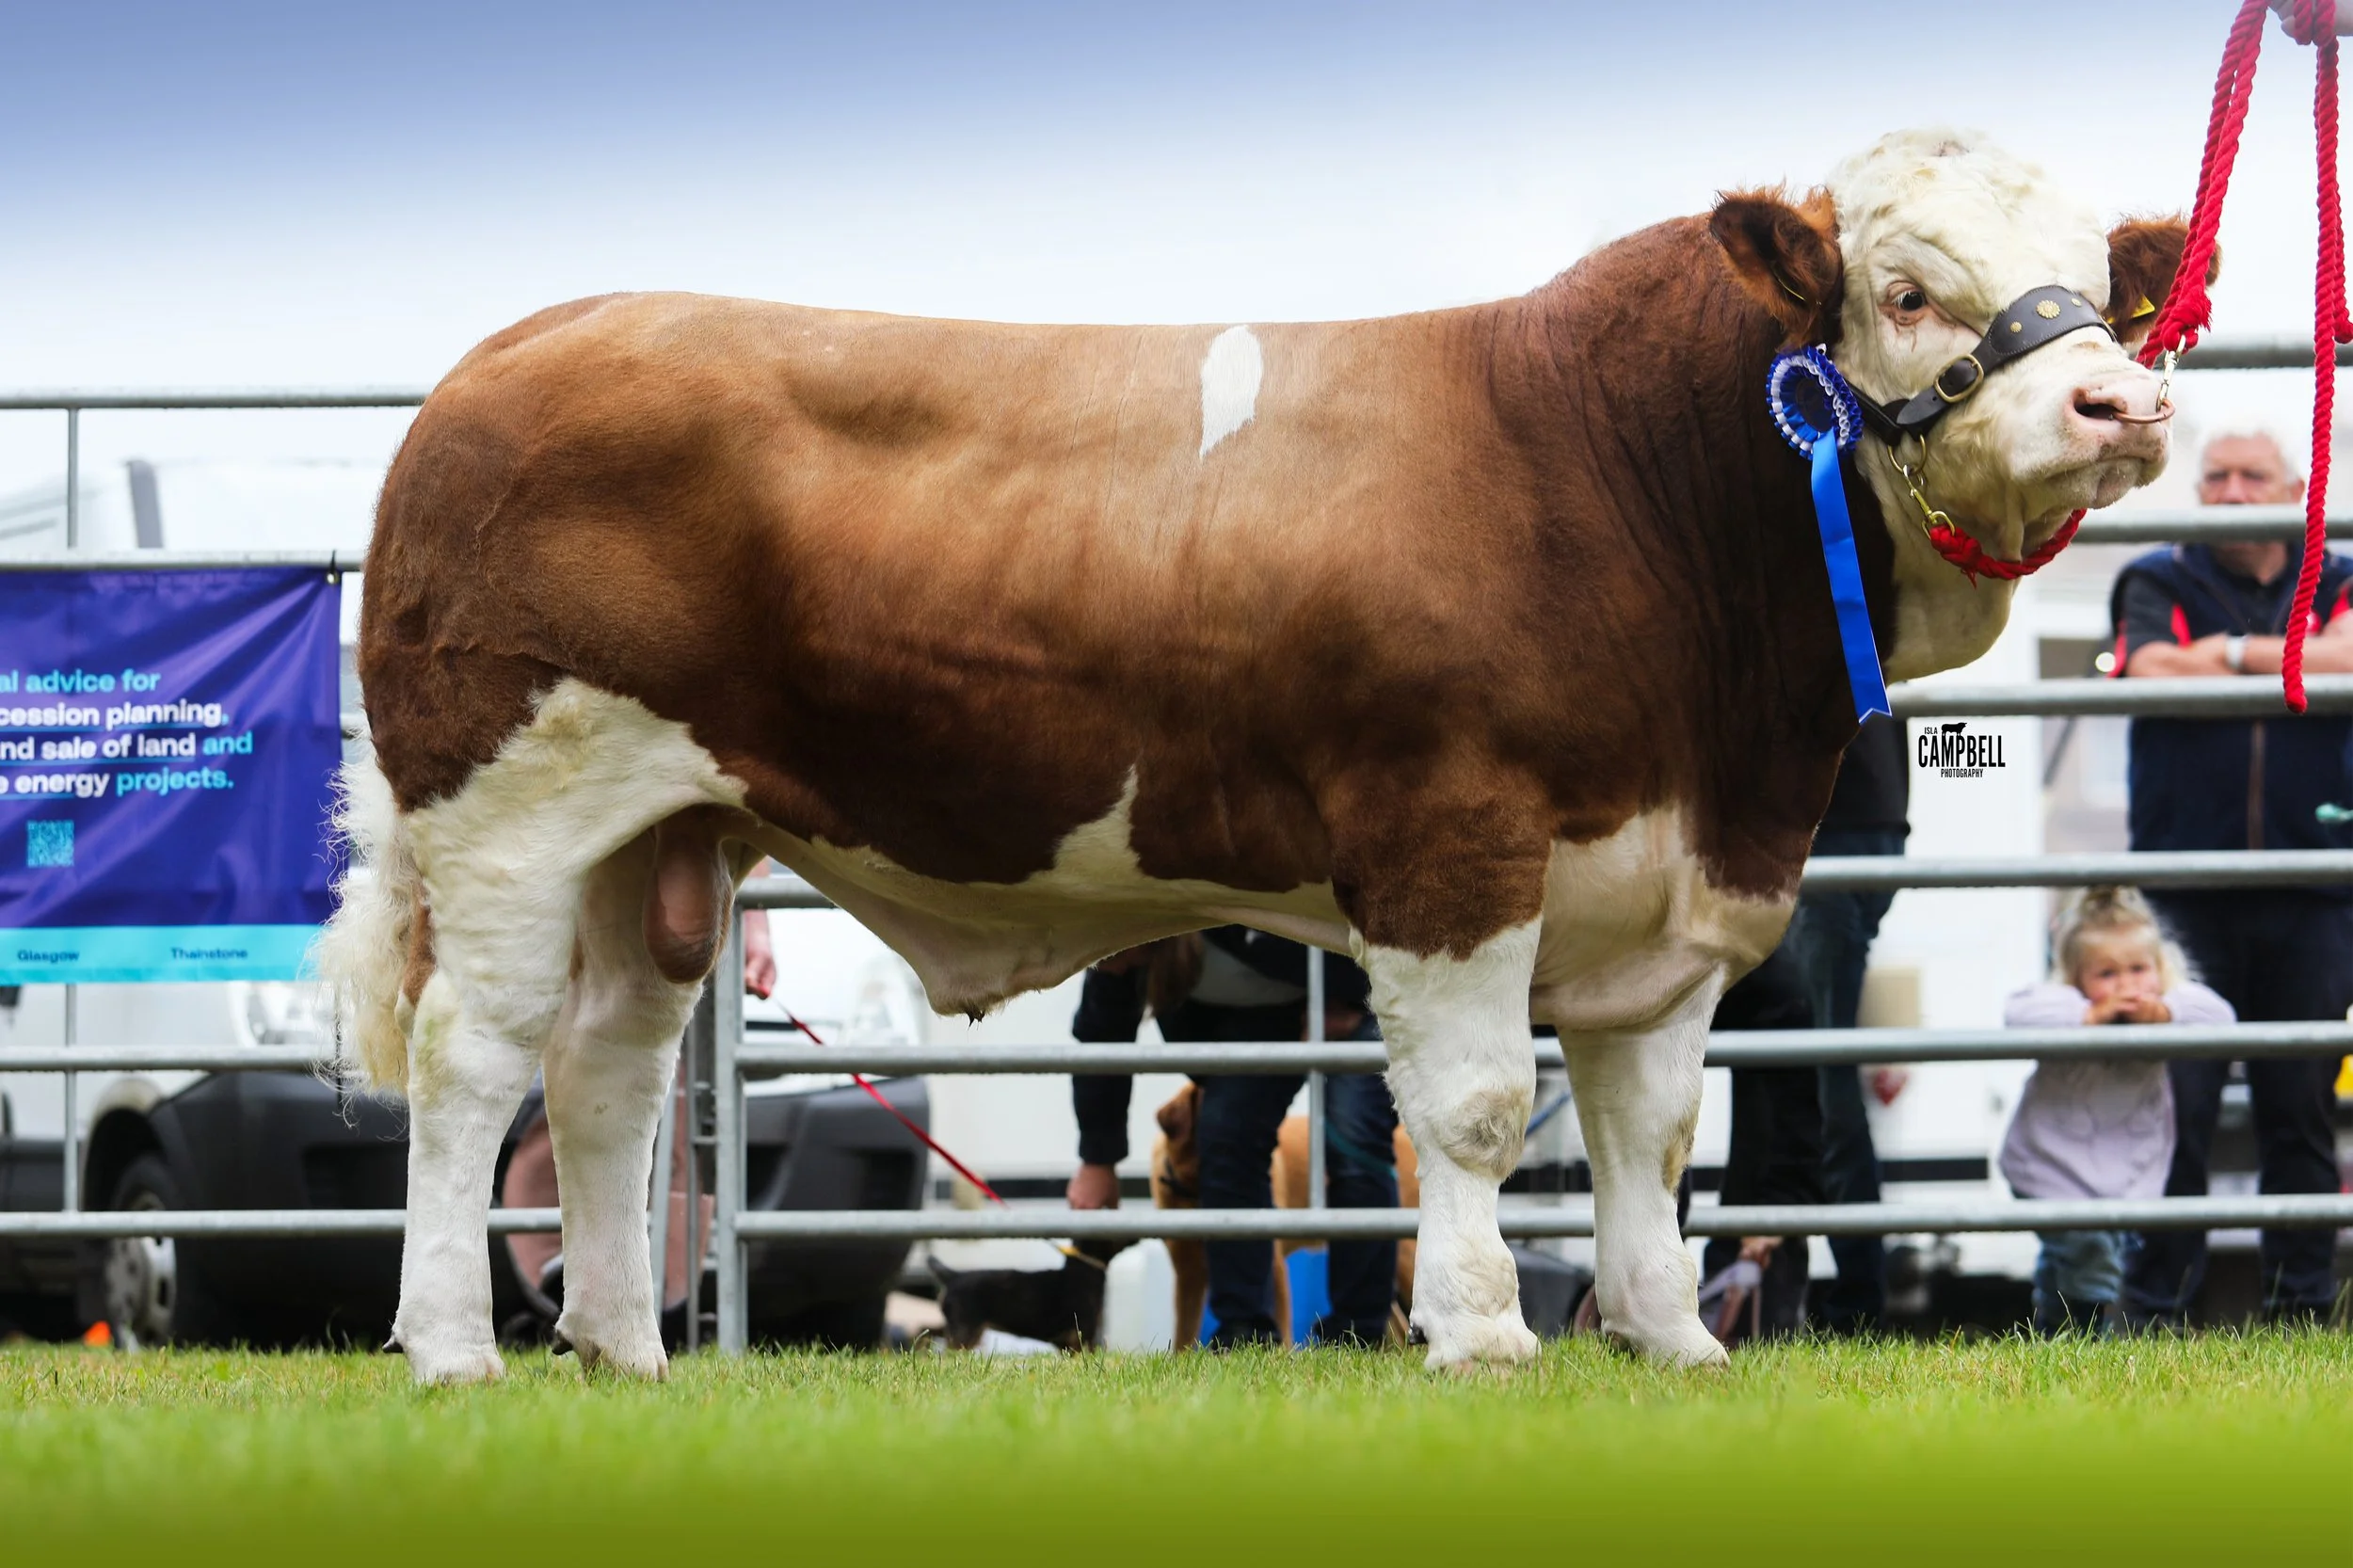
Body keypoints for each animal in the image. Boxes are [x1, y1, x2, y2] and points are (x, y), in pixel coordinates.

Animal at [320, 128, 2184, 1384]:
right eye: (1906, 289)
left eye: (2104, 288)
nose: (2123, 404)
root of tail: (518, 349)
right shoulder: (1452, 840)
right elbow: (1480, 1107)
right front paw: (1485, 1334)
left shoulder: (1673, 881)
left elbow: (1654, 1132)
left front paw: (1669, 1339)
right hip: (510, 809)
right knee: (477, 1062)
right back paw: (454, 1346)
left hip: (662, 838)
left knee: (607, 1077)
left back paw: (623, 1352)